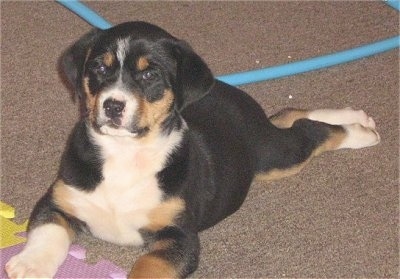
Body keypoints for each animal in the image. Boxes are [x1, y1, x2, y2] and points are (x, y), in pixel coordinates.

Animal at [6, 20, 382, 278]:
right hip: (270, 144)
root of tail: (236, 96)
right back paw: (355, 115)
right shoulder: (57, 201)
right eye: (99, 67)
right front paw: (29, 265)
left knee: (309, 131)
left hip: (276, 156)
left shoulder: (179, 237)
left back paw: (359, 130)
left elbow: (148, 266)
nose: (112, 106)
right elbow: (48, 234)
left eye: (150, 75)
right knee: (291, 114)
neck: (124, 155)